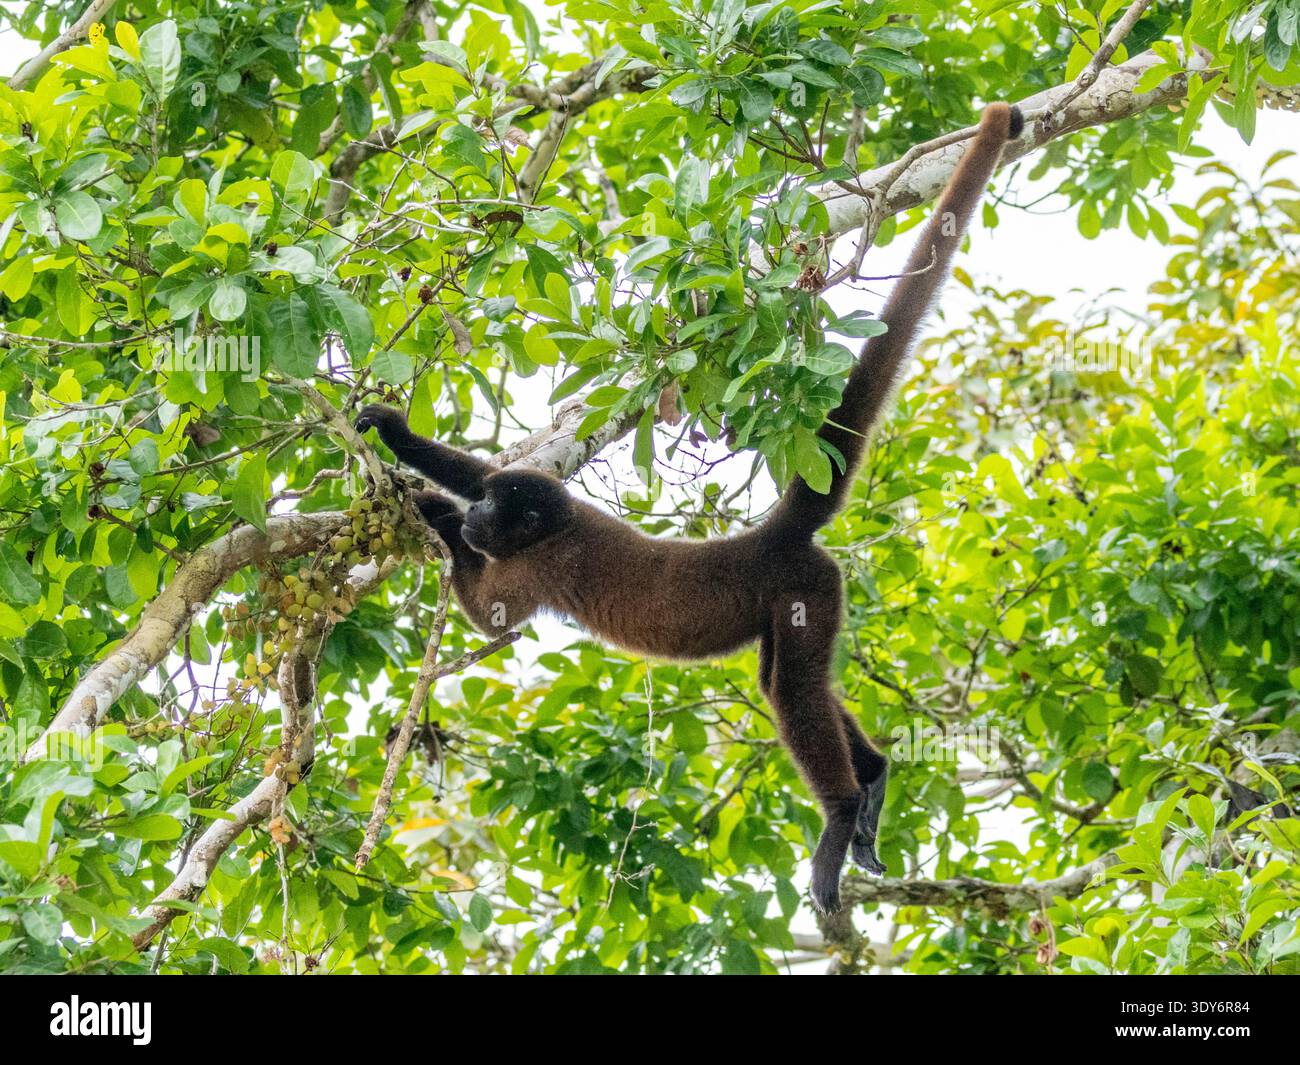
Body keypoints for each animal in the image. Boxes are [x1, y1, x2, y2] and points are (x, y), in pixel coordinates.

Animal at [356, 103, 1023, 913]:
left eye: (496, 515)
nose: (477, 518)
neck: (555, 527)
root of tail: (771, 537)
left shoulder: (536, 568)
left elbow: (489, 616)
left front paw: (434, 517)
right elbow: (486, 465)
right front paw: (402, 446)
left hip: (804, 591)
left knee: (791, 692)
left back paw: (840, 813)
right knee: (795, 681)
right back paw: (872, 779)